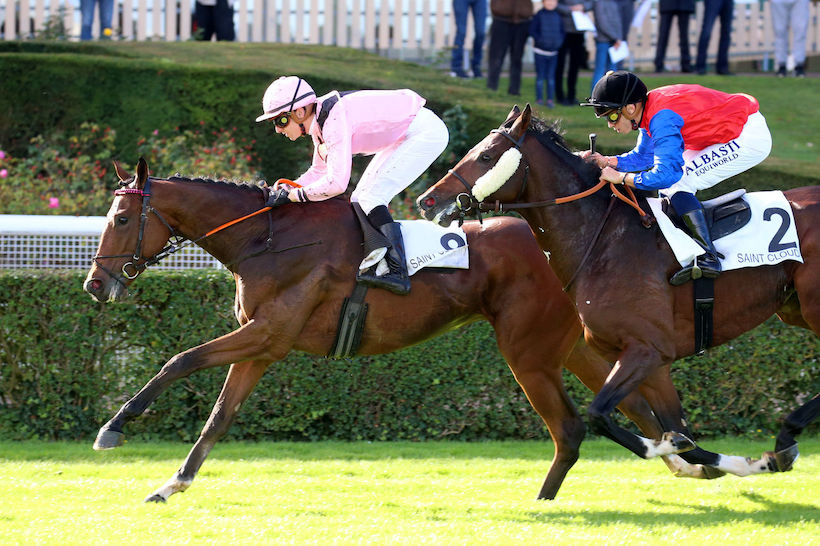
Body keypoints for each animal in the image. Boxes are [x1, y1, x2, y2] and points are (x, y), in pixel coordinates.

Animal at [84, 158, 707, 503]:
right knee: (632, 399)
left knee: (575, 426)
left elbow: (178, 360)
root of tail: (561, 241)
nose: (95, 283)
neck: (266, 239)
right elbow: (218, 417)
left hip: (527, 349)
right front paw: (172, 484)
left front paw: (113, 428)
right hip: (571, 343)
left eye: (121, 218)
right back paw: (682, 455)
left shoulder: (267, 334)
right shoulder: (260, 346)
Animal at [417, 105, 820, 478]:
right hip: (793, 309)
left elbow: (599, 415)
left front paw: (669, 447)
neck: (604, 240)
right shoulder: (655, 363)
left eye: (486, 156)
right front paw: (741, 461)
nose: (427, 201)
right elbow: (685, 438)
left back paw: (787, 432)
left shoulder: (644, 349)